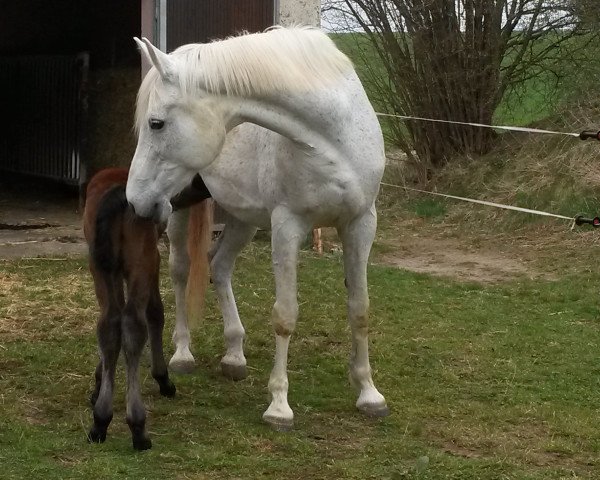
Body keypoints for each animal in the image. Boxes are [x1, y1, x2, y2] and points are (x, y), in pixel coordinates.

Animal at [126, 28, 390, 430]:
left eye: (156, 123)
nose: (134, 199)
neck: (334, 138)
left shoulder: (361, 223)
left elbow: (360, 309)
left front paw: (369, 394)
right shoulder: (287, 225)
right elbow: (285, 315)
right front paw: (279, 406)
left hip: (243, 219)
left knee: (219, 266)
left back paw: (234, 355)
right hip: (179, 207)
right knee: (182, 270)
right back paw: (183, 353)